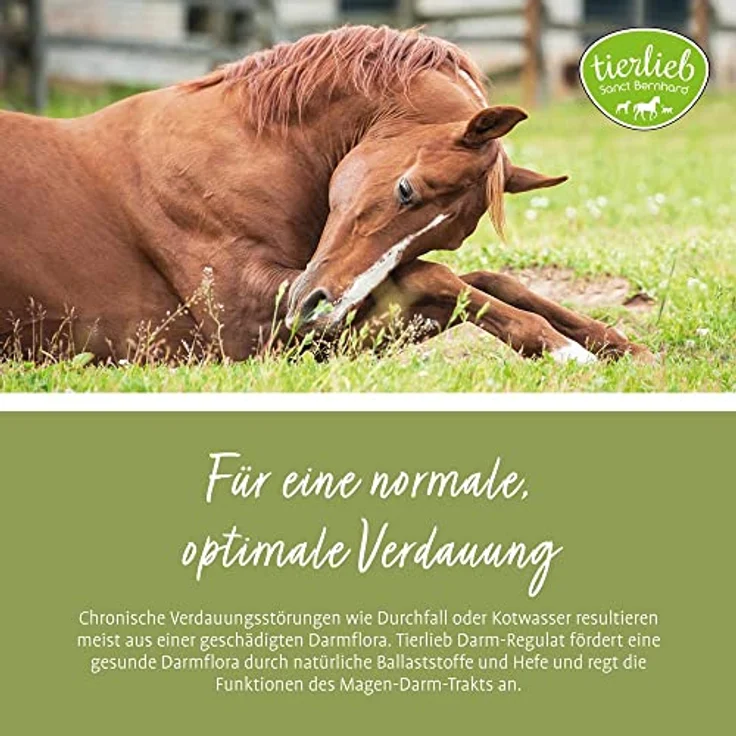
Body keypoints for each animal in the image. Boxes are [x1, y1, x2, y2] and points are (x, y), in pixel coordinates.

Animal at [0, 25, 651, 365]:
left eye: (451, 232)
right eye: (406, 189)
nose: (319, 312)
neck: (240, 151)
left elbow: (481, 280)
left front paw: (613, 343)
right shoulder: (249, 327)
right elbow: (441, 280)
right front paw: (563, 349)